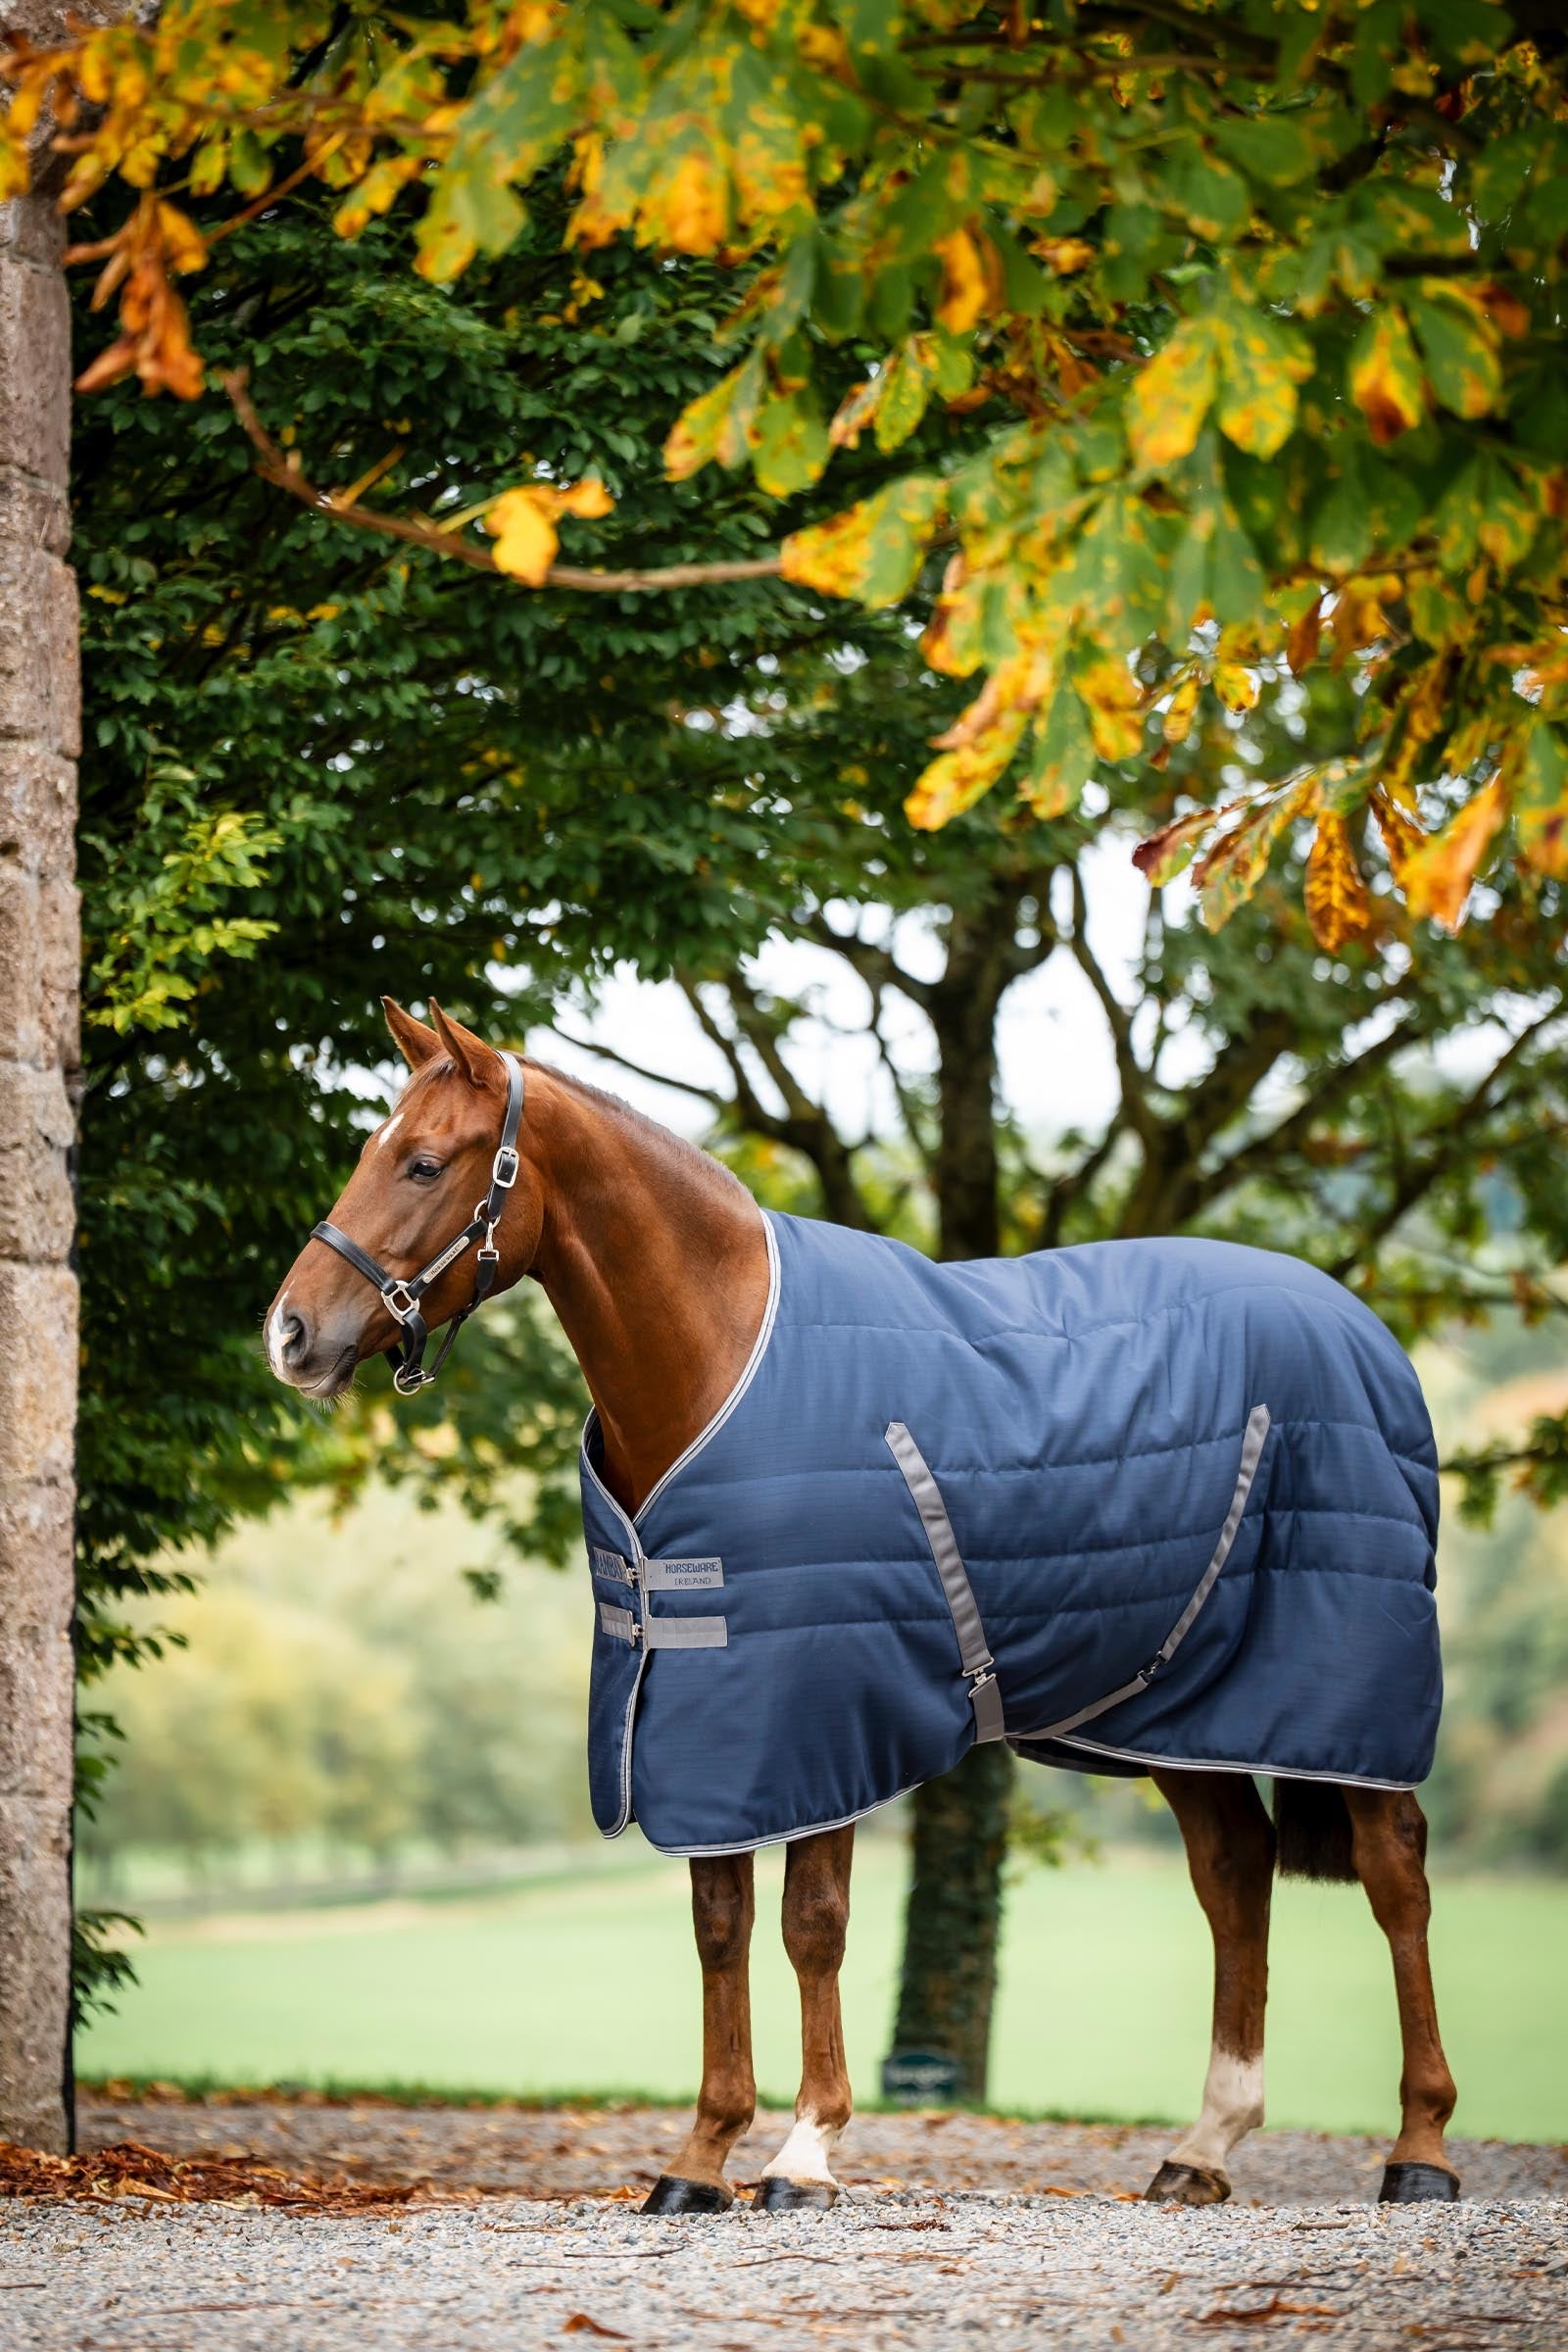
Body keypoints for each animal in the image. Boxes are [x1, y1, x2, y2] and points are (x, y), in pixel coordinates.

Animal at [264, 998, 1460, 2213]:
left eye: (423, 1162)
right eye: (368, 1150)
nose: (291, 1334)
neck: (718, 1352)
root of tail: (1362, 1330)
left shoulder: (819, 1712)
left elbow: (811, 1926)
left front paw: (804, 2152)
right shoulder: (709, 1713)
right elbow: (720, 1926)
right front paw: (700, 2157)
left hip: (1344, 1688)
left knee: (1396, 1874)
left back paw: (1419, 2148)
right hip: (1176, 1707)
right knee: (1233, 1875)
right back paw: (1205, 2145)